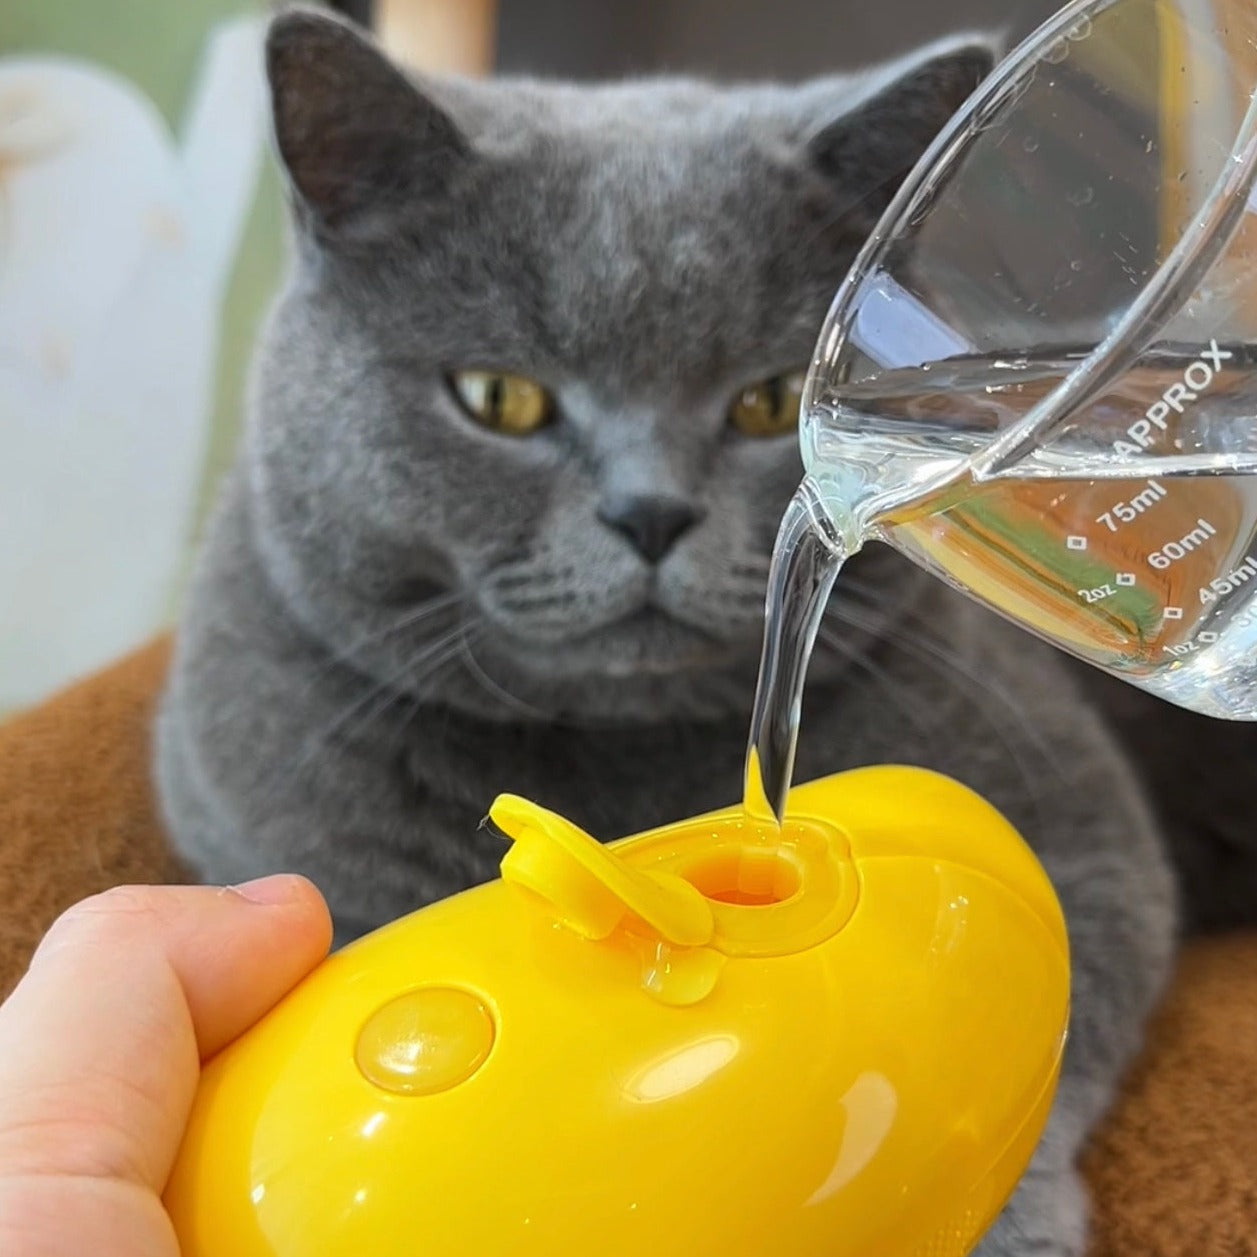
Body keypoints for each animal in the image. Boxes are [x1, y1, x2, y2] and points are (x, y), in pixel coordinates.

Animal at [159, 12, 1176, 1257]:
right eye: (497, 397)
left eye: (768, 401)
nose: (650, 513)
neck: (632, 769)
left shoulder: (1089, 832)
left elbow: (1079, 1012)